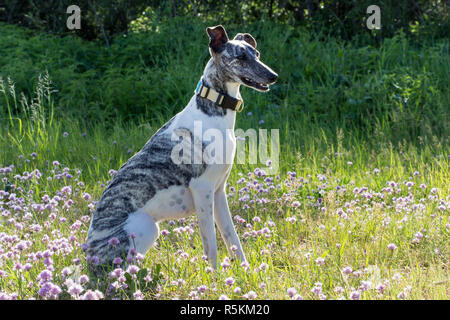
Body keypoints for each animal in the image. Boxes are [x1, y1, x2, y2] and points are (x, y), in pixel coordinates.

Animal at [85, 24, 278, 270]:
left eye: (257, 54)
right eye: (241, 57)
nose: (273, 76)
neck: (212, 109)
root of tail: (86, 254)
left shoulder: (218, 192)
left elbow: (232, 238)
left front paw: (244, 271)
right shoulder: (202, 189)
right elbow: (211, 246)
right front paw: (215, 277)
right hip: (146, 227)